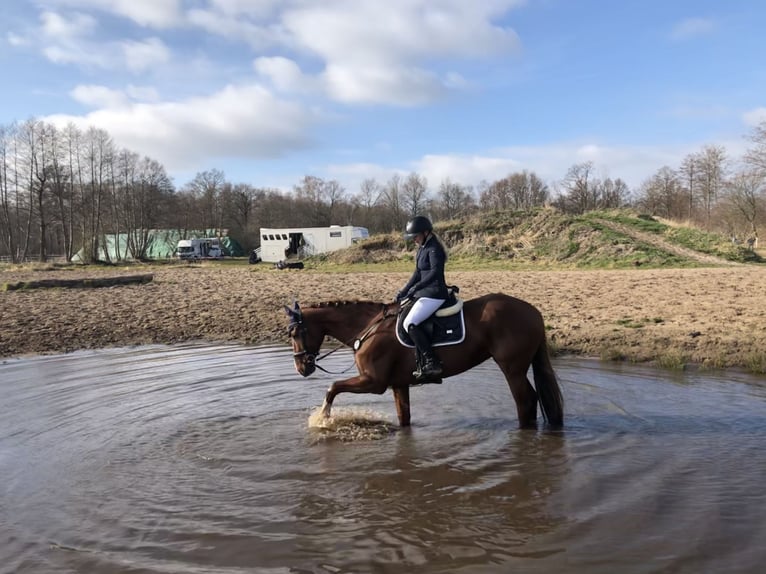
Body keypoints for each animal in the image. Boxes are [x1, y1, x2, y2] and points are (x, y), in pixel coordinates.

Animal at [284, 294, 564, 430]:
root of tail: (533, 311)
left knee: (525, 401)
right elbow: (404, 418)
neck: (368, 327)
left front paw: (323, 418)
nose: (301, 368)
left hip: (512, 369)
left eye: (296, 333)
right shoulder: (398, 385)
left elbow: (332, 388)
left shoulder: (373, 382)